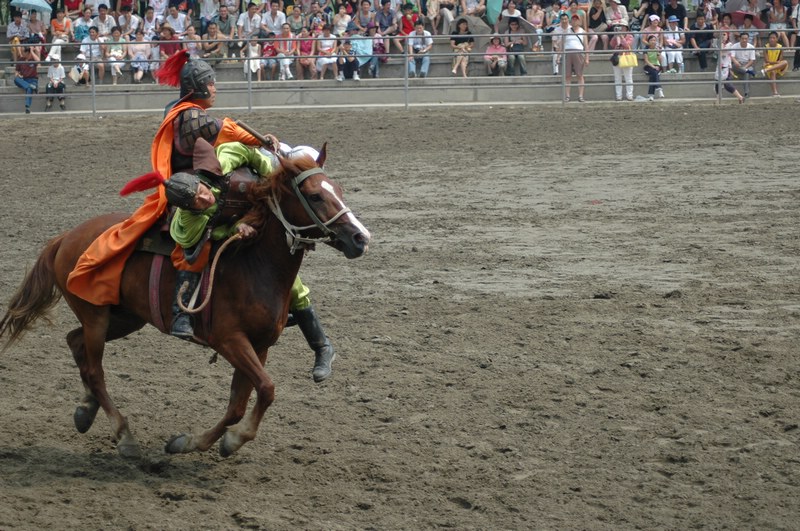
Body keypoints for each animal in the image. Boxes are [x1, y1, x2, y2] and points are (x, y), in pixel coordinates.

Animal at [0, 148, 372, 460]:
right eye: (314, 195)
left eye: (339, 190)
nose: (360, 238)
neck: (254, 264)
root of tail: (65, 237)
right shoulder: (230, 340)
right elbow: (266, 389)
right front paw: (227, 440)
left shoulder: (259, 346)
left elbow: (239, 404)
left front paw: (195, 442)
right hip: (96, 317)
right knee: (94, 369)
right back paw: (124, 436)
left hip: (125, 317)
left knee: (75, 343)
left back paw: (85, 411)